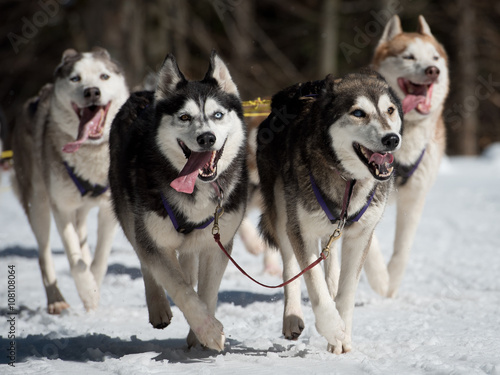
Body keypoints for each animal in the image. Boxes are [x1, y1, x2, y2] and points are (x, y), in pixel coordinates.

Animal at [11, 48, 130, 316]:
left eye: (104, 76)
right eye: (75, 79)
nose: (92, 91)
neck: (91, 151)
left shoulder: (108, 210)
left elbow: (99, 259)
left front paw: (93, 289)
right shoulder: (61, 208)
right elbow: (75, 261)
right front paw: (87, 290)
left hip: (80, 210)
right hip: (38, 204)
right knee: (44, 254)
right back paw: (56, 300)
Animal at [110, 51, 249, 352]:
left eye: (217, 115)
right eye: (185, 117)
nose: (206, 137)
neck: (196, 188)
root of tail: (144, 94)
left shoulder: (216, 243)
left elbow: (206, 293)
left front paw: (199, 337)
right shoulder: (154, 240)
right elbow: (181, 289)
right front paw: (209, 330)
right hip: (130, 216)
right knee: (146, 262)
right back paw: (158, 307)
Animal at [258, 71, 402, 356]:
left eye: (390, 110)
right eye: (358, 113)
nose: (392, 139)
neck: (349, 181)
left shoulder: (360, 235)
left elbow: (346, 292)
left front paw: (342, 337)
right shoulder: (300, 230)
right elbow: (314, 285)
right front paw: (333, 328)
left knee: (331, 261)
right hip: (282, 214)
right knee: (291, 269)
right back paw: (292, 317)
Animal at [364, 14, 450, 298]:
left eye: (435, 58)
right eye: (409, 57)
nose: (432, 71)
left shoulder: (415, 195)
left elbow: (403, 247)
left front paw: (391, 283)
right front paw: (380, 278)